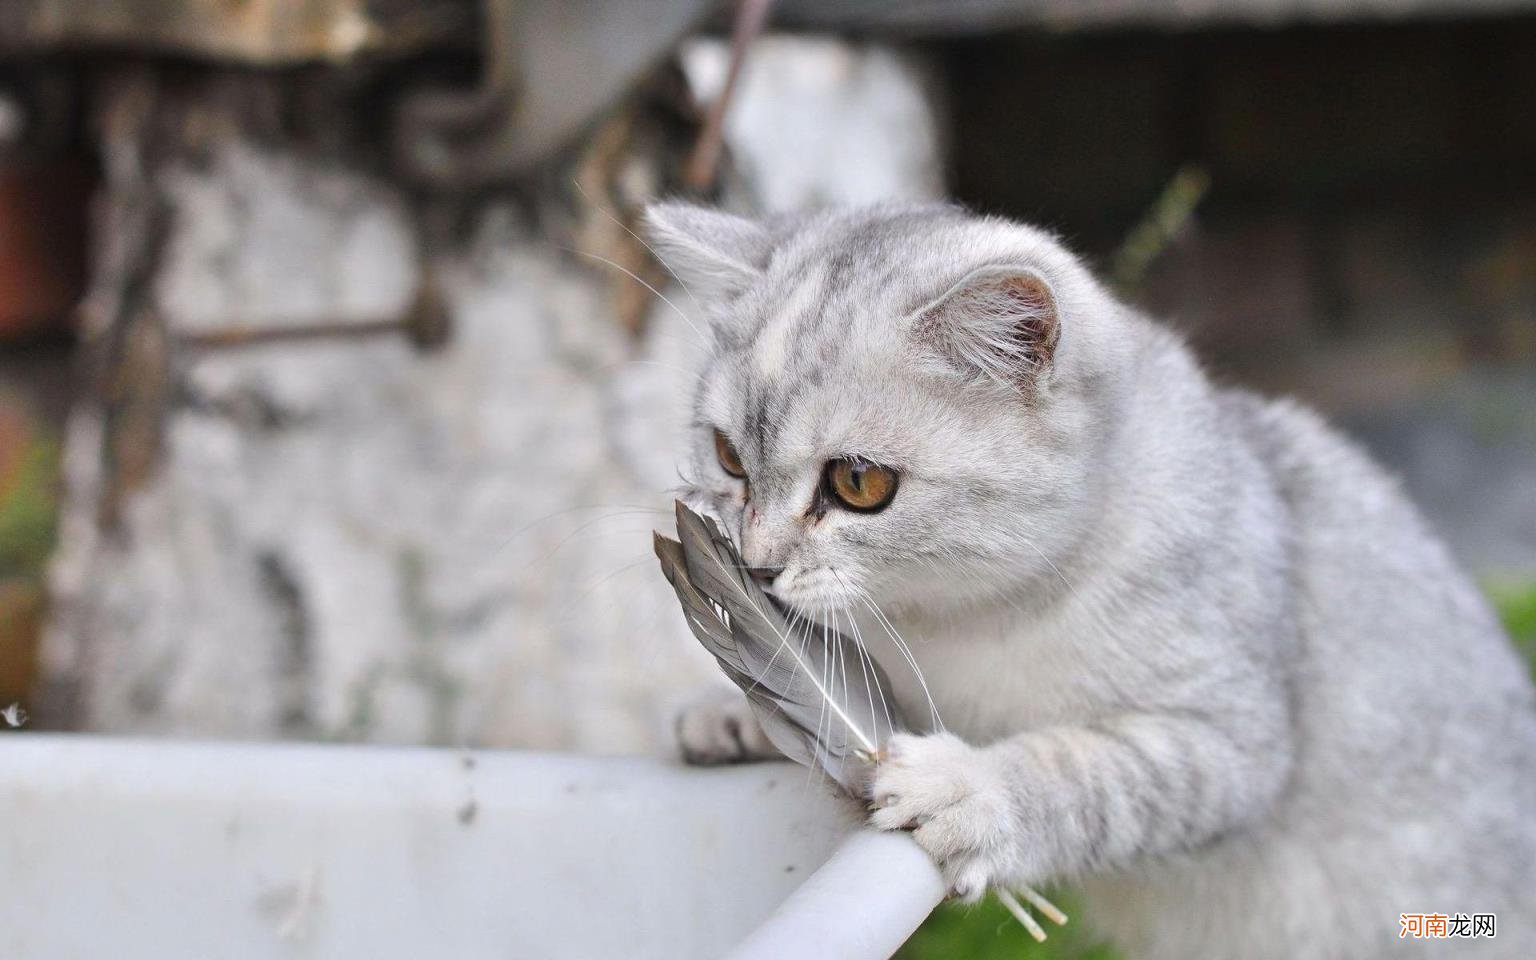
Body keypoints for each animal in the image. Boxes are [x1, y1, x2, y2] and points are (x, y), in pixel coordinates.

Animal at [648, 204, 1536, 958]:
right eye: (728, 458)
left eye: (859, 482)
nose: (756, 564)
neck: (950, 623)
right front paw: (735, 711)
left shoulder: (1228, 741)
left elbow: (1084, 773)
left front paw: (972, 790)